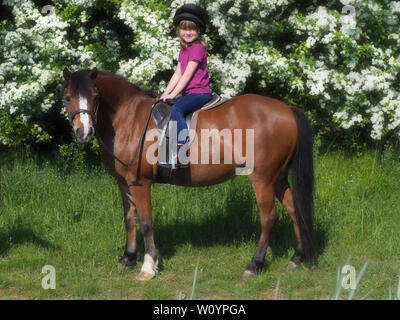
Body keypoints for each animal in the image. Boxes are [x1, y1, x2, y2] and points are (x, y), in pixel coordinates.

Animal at [61, 67, 316, 280]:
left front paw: (148, 266)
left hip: (262, 178)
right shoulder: (124, 184)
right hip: (278, 178)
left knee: (269, 217)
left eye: (96, 96)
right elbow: (129, 219)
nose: (84, 132)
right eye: (67, 97)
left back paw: (255, 265)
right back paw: (297, 257)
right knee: (294, 209)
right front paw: (128, 258)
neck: (128, 118)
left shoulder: (140, 184)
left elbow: (146, 222)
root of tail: (287, 109)